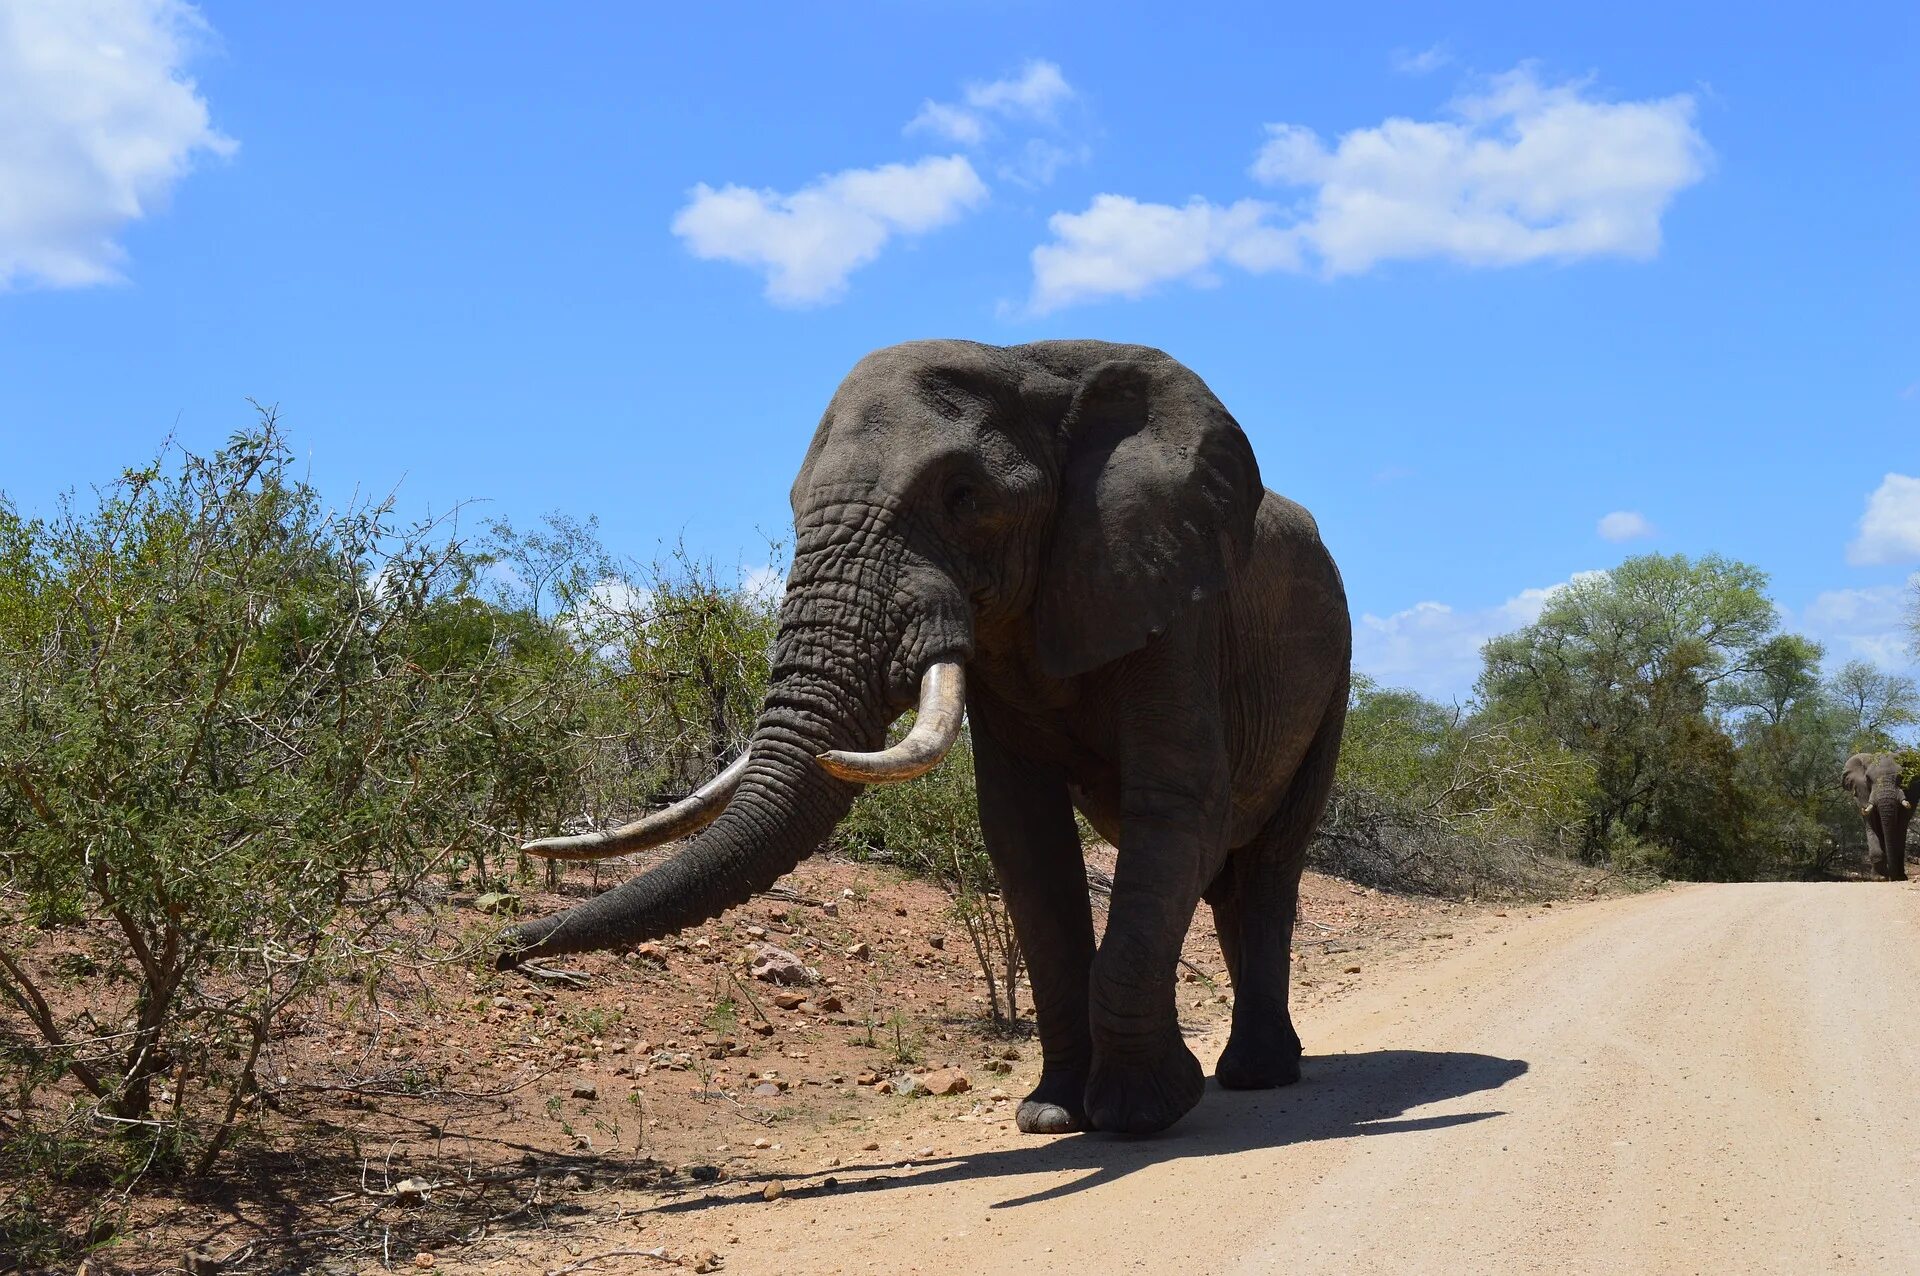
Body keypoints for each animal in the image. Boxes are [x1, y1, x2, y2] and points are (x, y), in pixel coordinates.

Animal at [503, 337, 1359, 1135]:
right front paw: (1052, 1115)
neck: (1031, 366)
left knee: (1268, 866)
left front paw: (1138, 1116)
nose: (507, 945)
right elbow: (1023, 837)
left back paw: (1257, 1075)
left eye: (963, 496)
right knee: (1227, 879)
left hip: (1334, 674)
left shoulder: (1170, 599)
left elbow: (1177, 808)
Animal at [1835, 752, 1912, 882]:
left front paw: (1895, 877)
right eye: (1868, 779)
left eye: (1901, 777)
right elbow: (1872, 824)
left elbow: (1901, 825)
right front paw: (1879, 878)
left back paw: (1900, 876)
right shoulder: (1862, 792)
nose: (1892, 878)